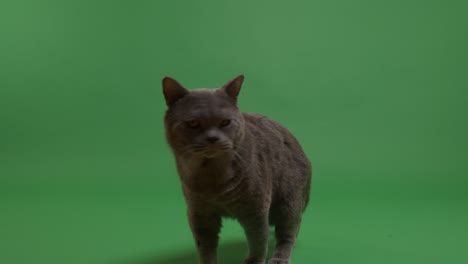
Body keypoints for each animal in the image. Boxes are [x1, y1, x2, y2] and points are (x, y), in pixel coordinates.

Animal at [163, 75, 312, 264]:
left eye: (225, 122)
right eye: (193, 123)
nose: (213, 138)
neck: (211, 179)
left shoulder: (256, 207)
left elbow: (258, 239)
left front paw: (254, 261)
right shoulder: (198, 212)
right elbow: (204, 246)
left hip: (289, 201)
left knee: (289, 232)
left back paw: (279, 258)